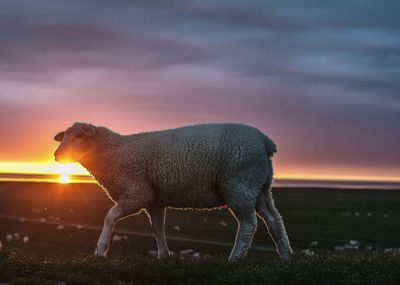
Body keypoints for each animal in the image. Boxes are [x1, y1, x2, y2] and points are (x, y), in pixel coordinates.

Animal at [53, 122, 292, 260]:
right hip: (259, 188)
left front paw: (101, 251)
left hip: (239, 185)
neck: (113, 152)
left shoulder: (136, 193)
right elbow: (158, 228)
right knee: (274, 219)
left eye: (78, 137)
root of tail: (265, 142)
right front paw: (164, 255)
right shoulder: (154, 200)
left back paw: (235, 258)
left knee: (249, 224)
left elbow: (110, 217)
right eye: (65, 136)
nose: (56, 155)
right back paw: (286, 256)